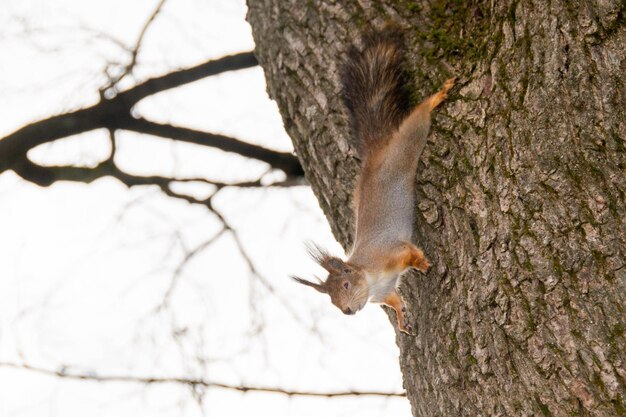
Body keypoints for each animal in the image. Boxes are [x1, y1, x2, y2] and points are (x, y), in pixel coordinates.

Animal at [292, 26, 454, 334]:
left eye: (345, 283)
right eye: (331, 301)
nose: (346, 311)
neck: (370, 278)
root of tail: (374, 153)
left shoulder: (391, 252)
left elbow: (409, 253)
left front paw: (422, 263)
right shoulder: (386, 291)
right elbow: (395, 300)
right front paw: (402, 318)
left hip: (404, 147)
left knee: (418, 119)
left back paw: (438, 96)